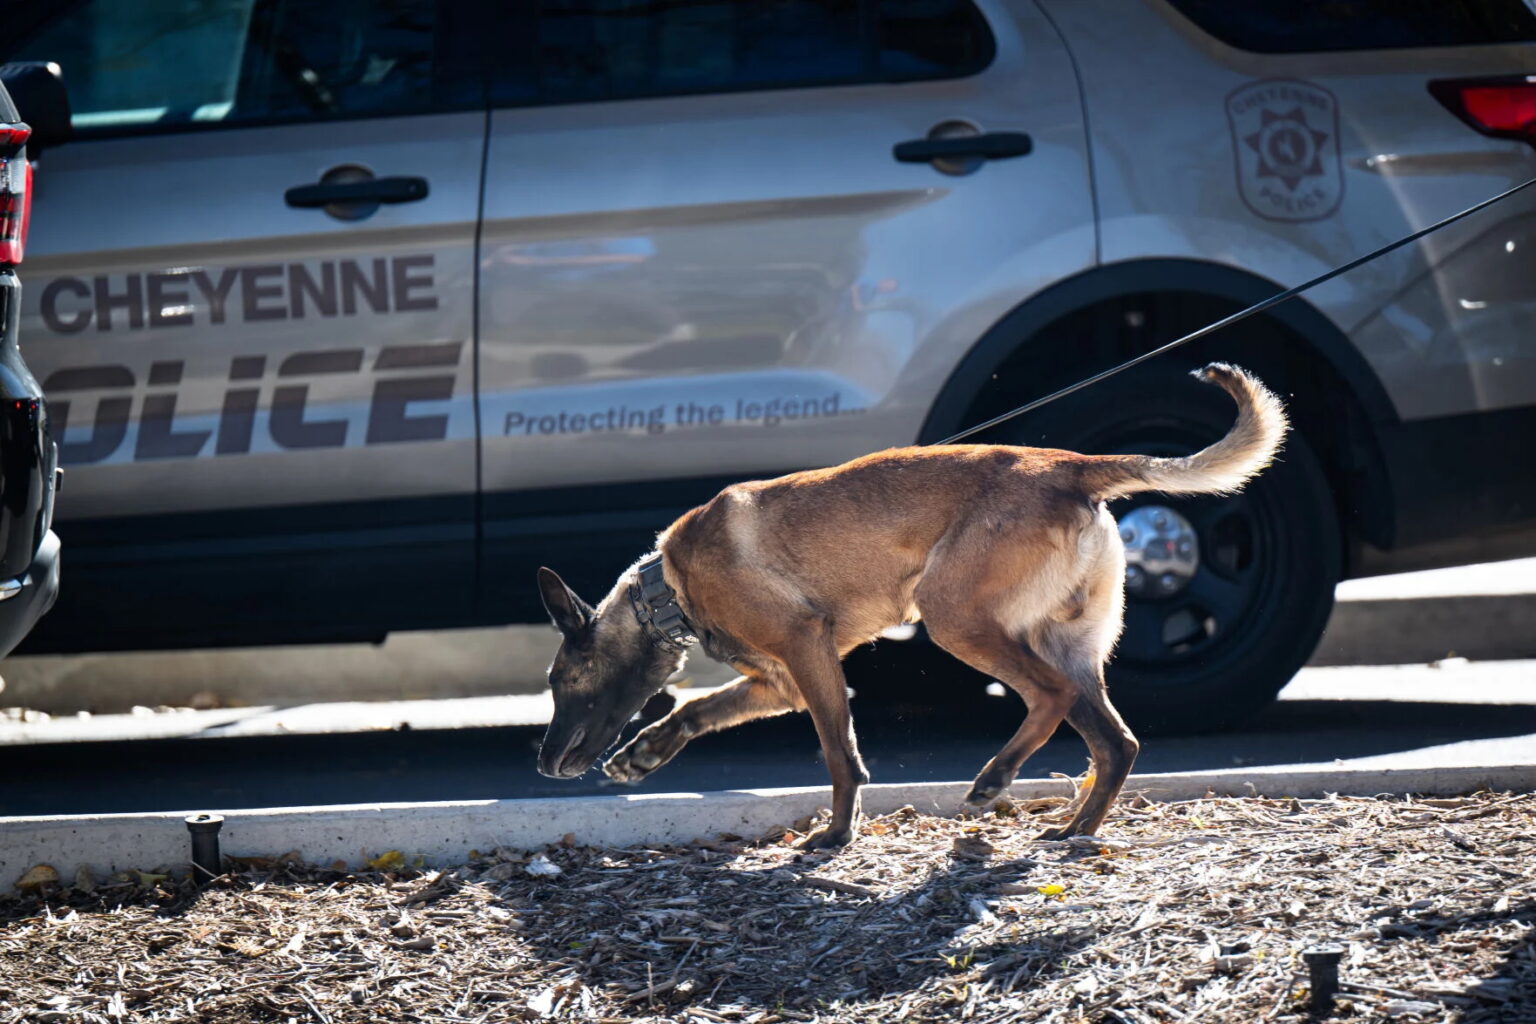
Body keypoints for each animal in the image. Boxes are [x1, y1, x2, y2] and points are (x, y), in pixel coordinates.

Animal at [535, 363, 1286, 849]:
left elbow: (839, 752)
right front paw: (647, 751)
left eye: (561, 681)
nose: (543, 765)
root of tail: (1069, 466)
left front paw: (837, 834)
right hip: (1067, 647)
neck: (666, 586)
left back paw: (995, 779)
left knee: (1046, 699)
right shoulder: (781, 681)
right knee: (1114, 741)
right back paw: (1074, 828)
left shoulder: (807, 650)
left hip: (954, 617)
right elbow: (699, 709)